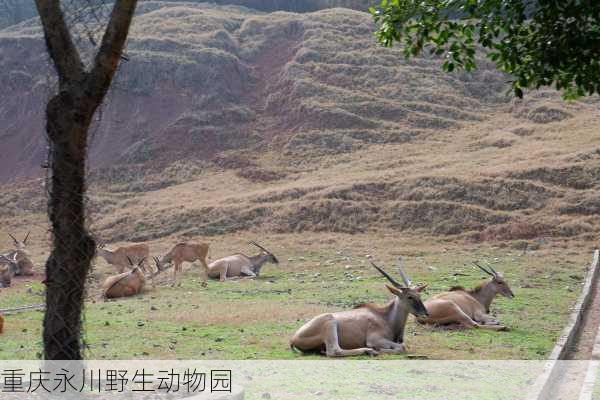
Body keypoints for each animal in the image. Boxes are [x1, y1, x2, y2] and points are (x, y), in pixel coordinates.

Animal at [290, 260, 426, 358]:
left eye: (419, 295)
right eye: (409, 297)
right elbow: (402, 347)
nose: (425, 314)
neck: (385, 317)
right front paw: (377, 350)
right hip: (329, 321)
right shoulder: (375, 339)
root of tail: (293, 338)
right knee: (334, 351)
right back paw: (368, 351)